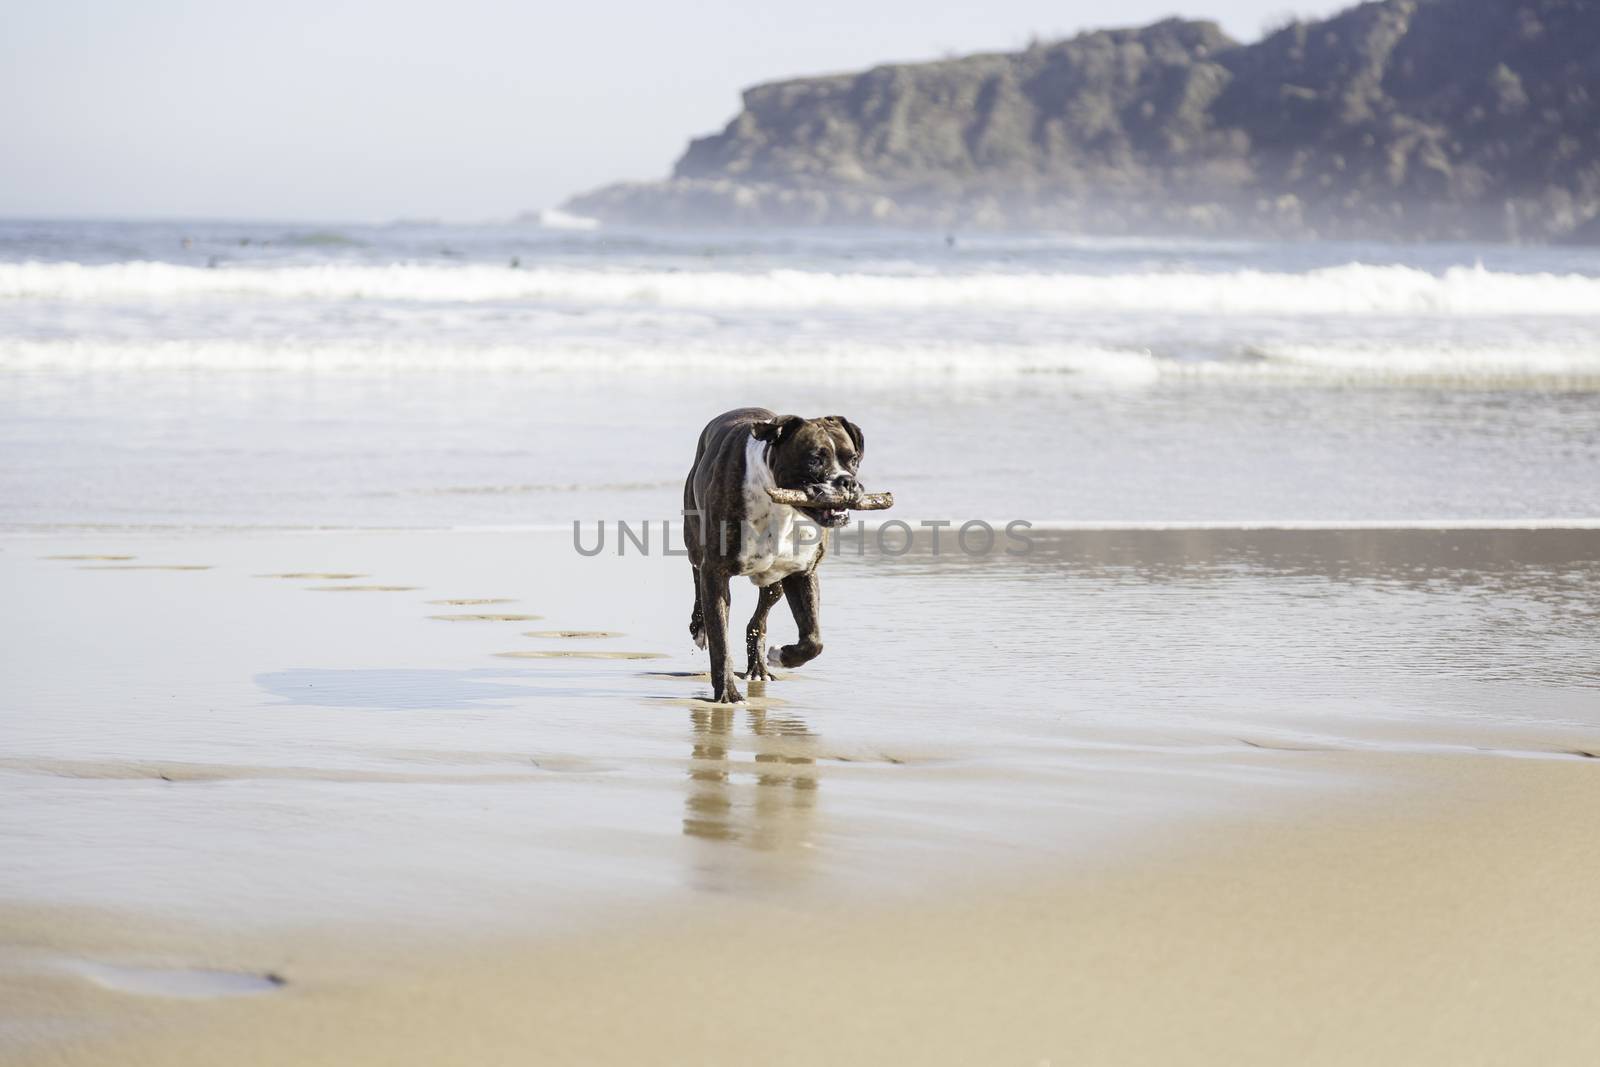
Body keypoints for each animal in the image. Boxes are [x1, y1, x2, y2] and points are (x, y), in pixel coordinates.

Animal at [684, 406, 864, 700]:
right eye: (815, 460)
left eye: (854, 459)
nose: (847, 482)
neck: (782, 507)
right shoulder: (716, 573)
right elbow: (721, 640)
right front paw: (727, 693)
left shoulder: (803, 573)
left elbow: (813, 639)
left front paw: (782, 655)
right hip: (695, 543)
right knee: (697, 576)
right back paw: (700, 628)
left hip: (774, 581)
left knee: (758, 620)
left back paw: (758, 667)